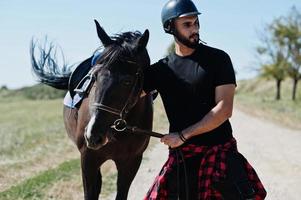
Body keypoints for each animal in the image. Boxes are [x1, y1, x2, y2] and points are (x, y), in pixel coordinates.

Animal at [30, 19, 154, 199]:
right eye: (94, 76)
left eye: (127, 81)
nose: (93, 135)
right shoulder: (88, 160)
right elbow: (90, 192)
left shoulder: (131, 162)